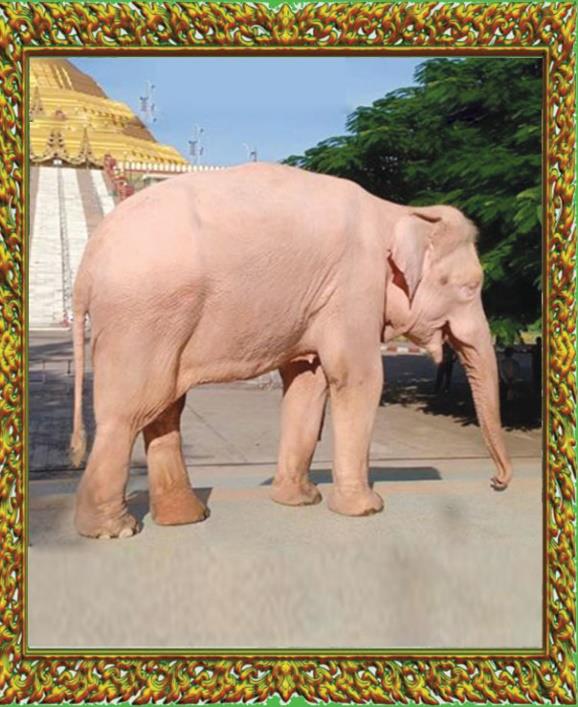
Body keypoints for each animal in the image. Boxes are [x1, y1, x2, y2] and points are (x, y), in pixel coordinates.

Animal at [69, 162, 512, 539]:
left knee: (164, 408)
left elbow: (307, 383)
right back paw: (115, 530)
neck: (399, 210)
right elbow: (359, 379)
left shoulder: (320, 303)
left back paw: (186, 517)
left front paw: (300, 501)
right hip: (143, 318)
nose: (497, 483)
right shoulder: (354, 287)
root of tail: (88, 261)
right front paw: (367, 508)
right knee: (131, 410)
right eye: (469, 288)